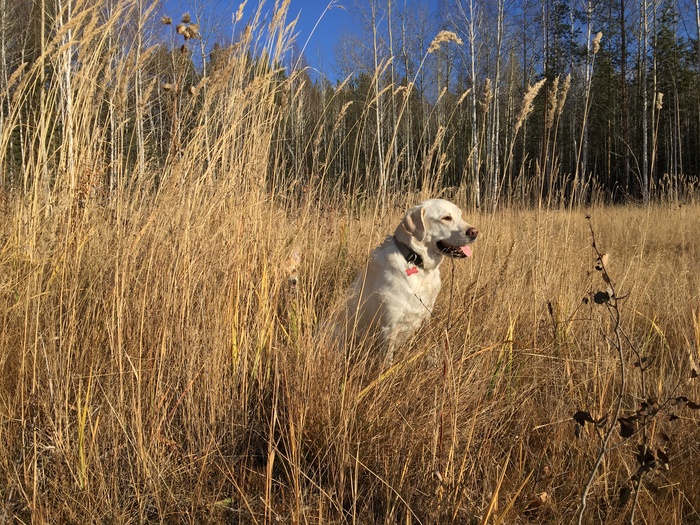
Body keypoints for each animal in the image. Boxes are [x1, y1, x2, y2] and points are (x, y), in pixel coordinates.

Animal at [336, 199, 478, 362]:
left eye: (460, 216)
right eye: (446, 218)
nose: (474, 232)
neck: (418, 264)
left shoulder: (425, 316)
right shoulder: (389, 327)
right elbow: (387, 360)